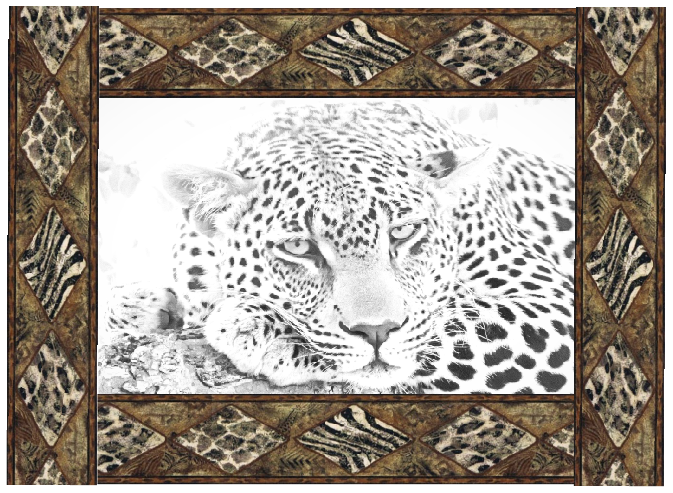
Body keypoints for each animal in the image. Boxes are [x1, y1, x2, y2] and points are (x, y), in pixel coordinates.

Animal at [105, 102, 575, 394]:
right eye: (299, 247)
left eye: (403, 232)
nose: (376, 331)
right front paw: (136, 306)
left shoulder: (554, 305)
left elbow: (449, 322)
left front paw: (262, 329)